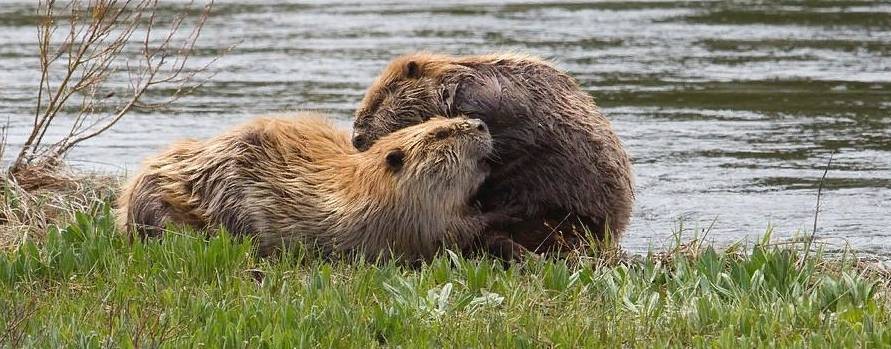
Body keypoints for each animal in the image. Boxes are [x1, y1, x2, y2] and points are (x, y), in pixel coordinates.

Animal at [116, 113, 516, 262]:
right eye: (441, 133)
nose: (480, 124)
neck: (365, 187)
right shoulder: (400, 221)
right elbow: (447, 233)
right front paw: (504, 213)